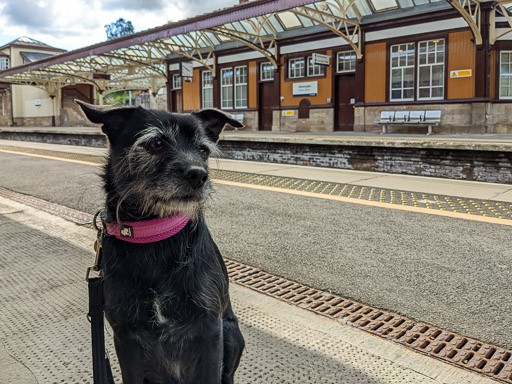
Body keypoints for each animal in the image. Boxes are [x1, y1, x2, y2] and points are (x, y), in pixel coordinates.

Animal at [76, 101, 246, 384]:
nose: (199, 175)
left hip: (232, 334)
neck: (156, 233)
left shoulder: (210, 330)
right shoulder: (125, 335)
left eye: (203, 150)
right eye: (156, 142)